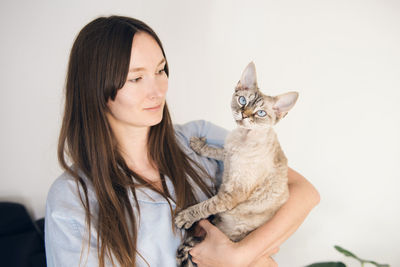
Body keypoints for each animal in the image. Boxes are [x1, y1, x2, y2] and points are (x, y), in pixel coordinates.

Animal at [174, 61, 296, 266]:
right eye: (242, 101)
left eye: (260, 113)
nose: (244, 115)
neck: (242, 139)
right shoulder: (228, 153)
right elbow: (216, 151)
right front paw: (199, 146)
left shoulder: (232, 194)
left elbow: (206, 206)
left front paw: (185, 216)